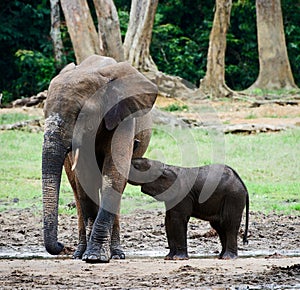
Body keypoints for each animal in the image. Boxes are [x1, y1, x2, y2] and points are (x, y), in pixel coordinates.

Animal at [43, 54, 159, 262]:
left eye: (80, 115)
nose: (61, 246)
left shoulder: (123, 116)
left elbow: (113, 176)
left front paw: (95, 257)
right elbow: (85, 179)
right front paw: (89, 255)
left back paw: (117, 254)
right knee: (77, 190)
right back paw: (79, 253)